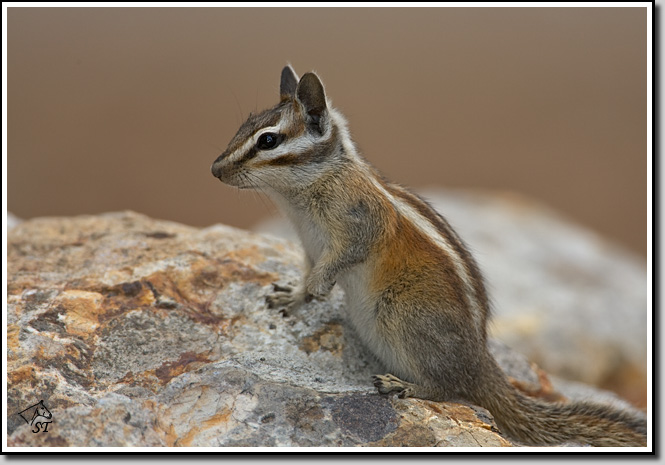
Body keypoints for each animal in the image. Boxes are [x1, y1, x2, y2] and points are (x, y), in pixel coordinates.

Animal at [211, 65, 647, 447]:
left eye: (268, 141)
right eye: (244, 125)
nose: (215, 169)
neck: (304, 193)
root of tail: (480, 362)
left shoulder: (358, 227)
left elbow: (342, 258)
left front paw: (314, 290)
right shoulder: (308, 245)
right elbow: (306, 274)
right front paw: (295, 294)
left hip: (403, 314)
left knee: (448, 388)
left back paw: (404, 386)